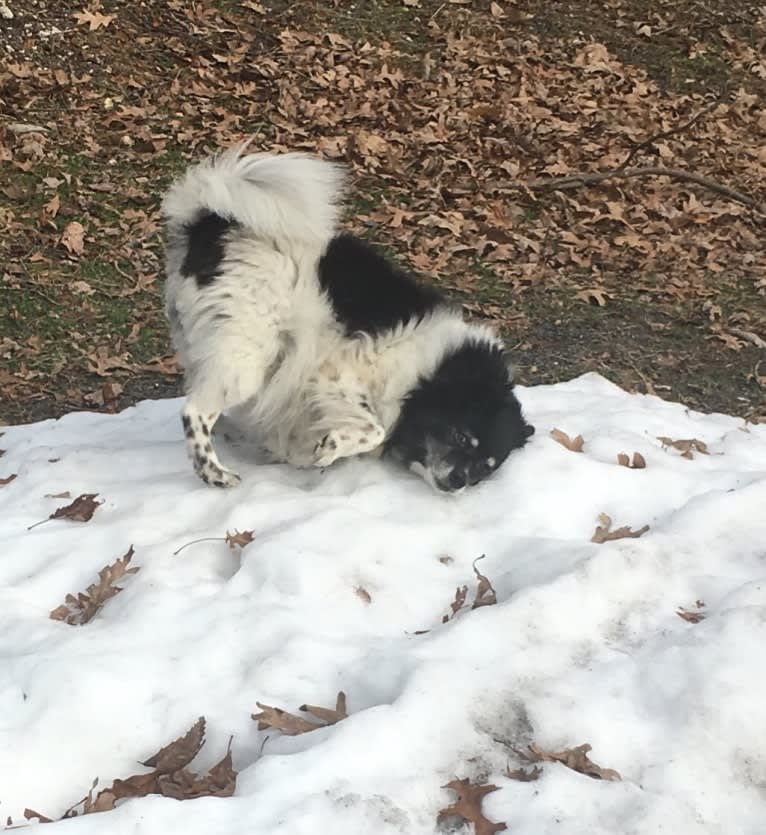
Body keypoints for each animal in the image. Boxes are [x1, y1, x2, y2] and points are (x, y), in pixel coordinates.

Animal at [162, 147, 536, 494]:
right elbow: (374, 429)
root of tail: (212, 224)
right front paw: (329, 448)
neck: (427, 374)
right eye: (460, 436)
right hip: (248, 353)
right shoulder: (337, 376)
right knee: (194, 410)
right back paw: (213, 471)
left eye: (485, 468)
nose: (460, 482)